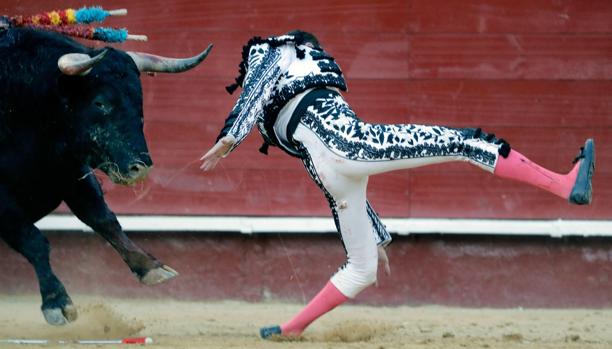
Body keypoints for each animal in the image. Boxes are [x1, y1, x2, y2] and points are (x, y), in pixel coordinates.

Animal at [0, 28, 213, 324]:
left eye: (139, 102)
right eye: (99, 102)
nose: (141, 167)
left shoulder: (71, 171)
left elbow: (104, 218)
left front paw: (150, 267)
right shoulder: (4, 202)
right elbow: (33, 240)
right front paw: (57, 302)